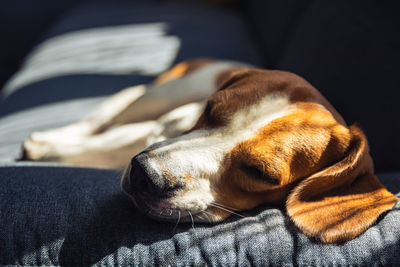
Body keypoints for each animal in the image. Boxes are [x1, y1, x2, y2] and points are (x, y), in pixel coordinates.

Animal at [23, 59, 398, 244]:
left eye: (259, 173)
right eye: (210, 109)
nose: (145, 174)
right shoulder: (162, 125)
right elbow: (105, 140)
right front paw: (54, 148)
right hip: (162, 96)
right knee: (106, 117)